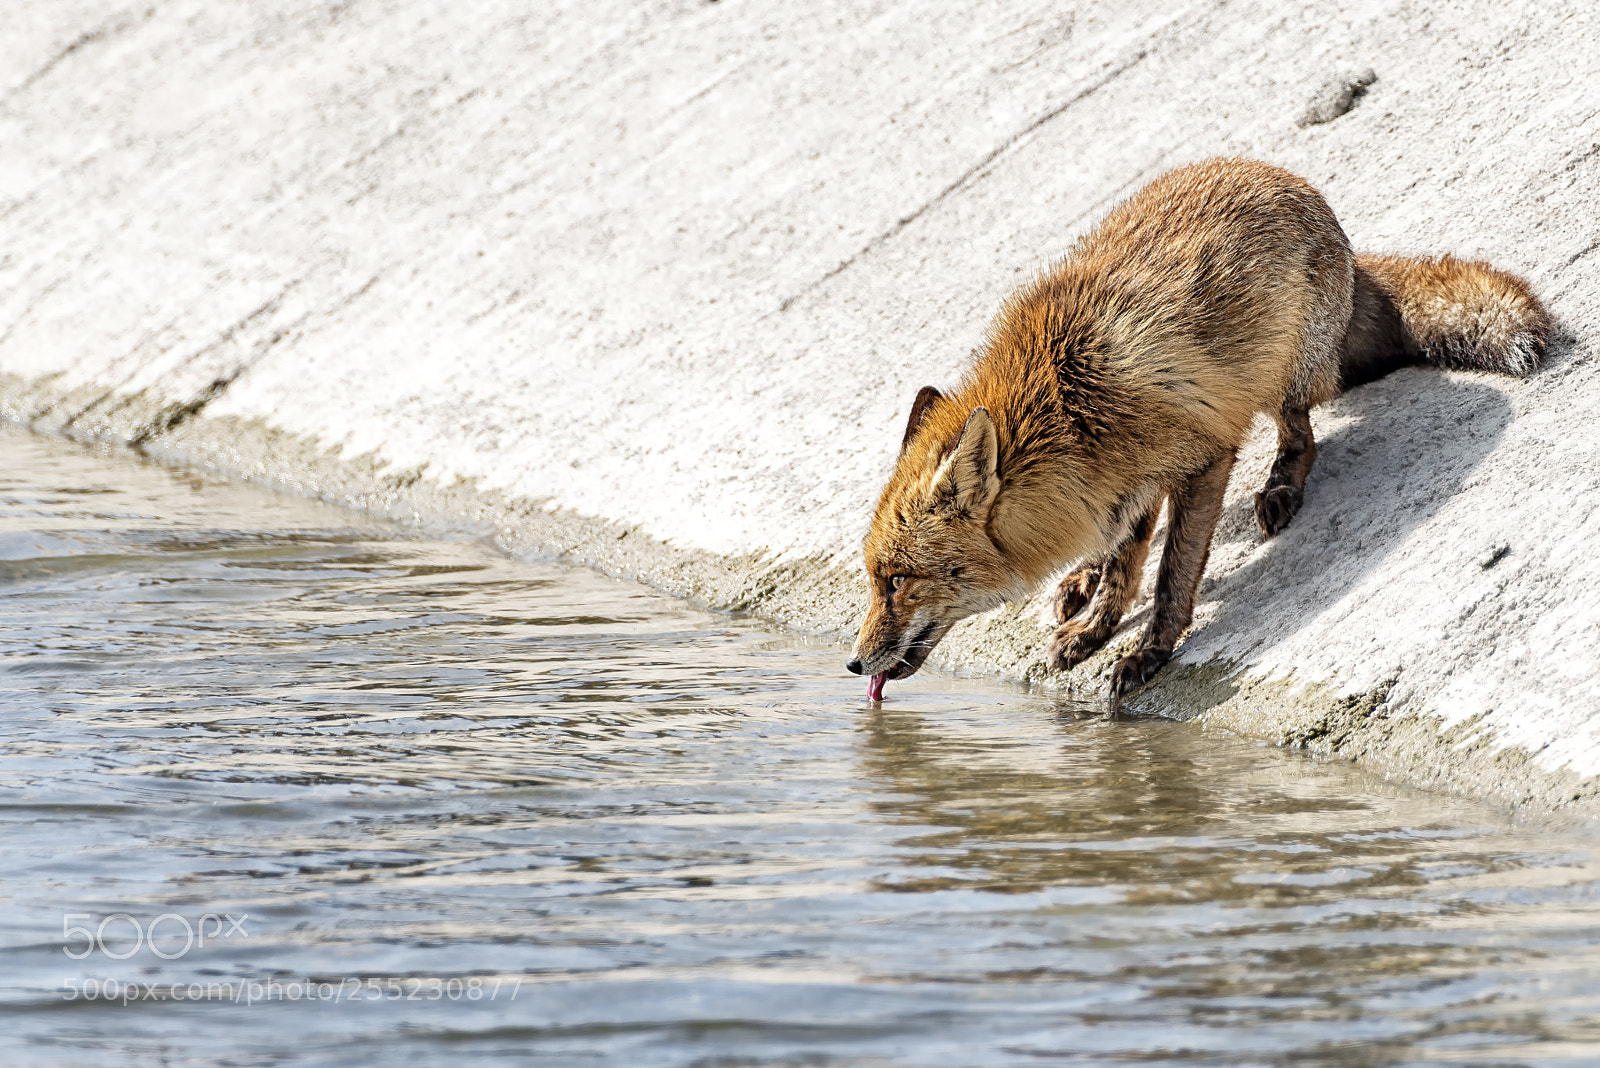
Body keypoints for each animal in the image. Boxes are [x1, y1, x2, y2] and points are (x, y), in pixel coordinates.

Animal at [845, 157, 1549, 702]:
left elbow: (1171, 576)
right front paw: (1096, 627)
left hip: (1282, 373)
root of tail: (1289, 178)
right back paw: (1080, 579)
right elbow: (1126, 566)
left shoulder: (1201, 457)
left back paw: (1280, 488)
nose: (853, 664)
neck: (1068, 411)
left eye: (897, 581)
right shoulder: (1124, 485)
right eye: (876, 580)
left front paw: (1148, 653)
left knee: (1303, 438)